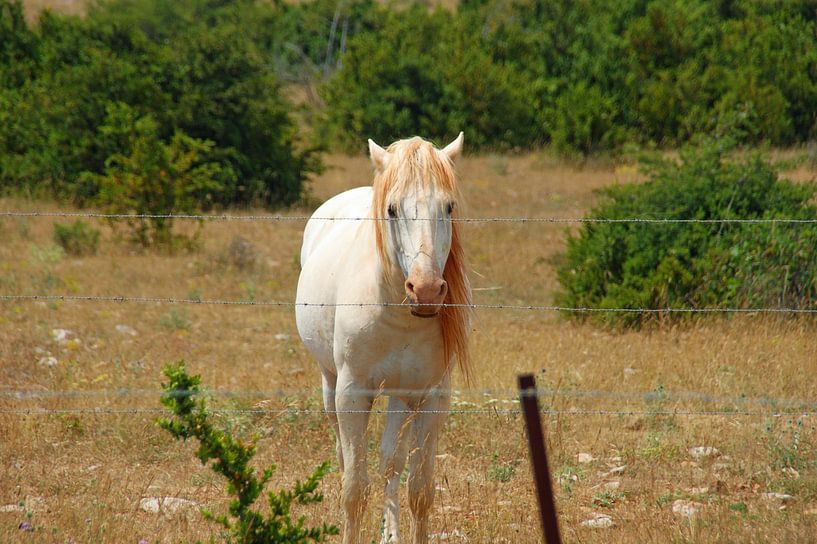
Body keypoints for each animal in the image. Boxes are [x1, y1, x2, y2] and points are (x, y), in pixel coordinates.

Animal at [295, 133, 471, 544]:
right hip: (331, 383)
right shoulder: (352, 393)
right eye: (391, 209)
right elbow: (354, 489)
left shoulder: (431, 398)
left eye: (449, 206)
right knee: (345, 455)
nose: (426, 291)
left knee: (391, 461)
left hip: (400, 396)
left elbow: (419, 490)